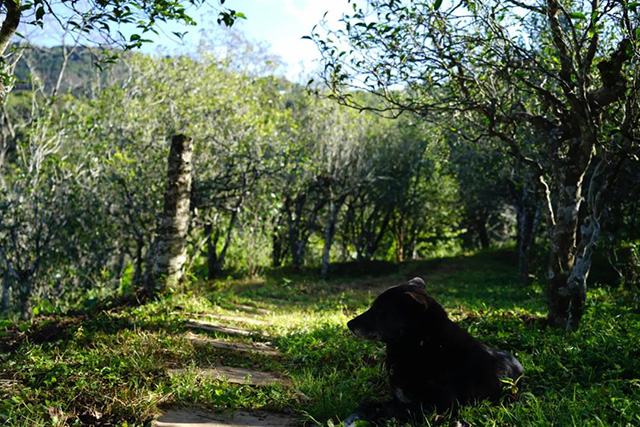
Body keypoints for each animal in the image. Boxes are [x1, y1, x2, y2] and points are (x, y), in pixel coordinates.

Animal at [348, 278, 524, 424]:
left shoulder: (438, 406)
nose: (349, 324)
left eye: (378, 309)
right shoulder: (399, 399)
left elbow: (388, 411)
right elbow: (369, 404)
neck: (421, 345)